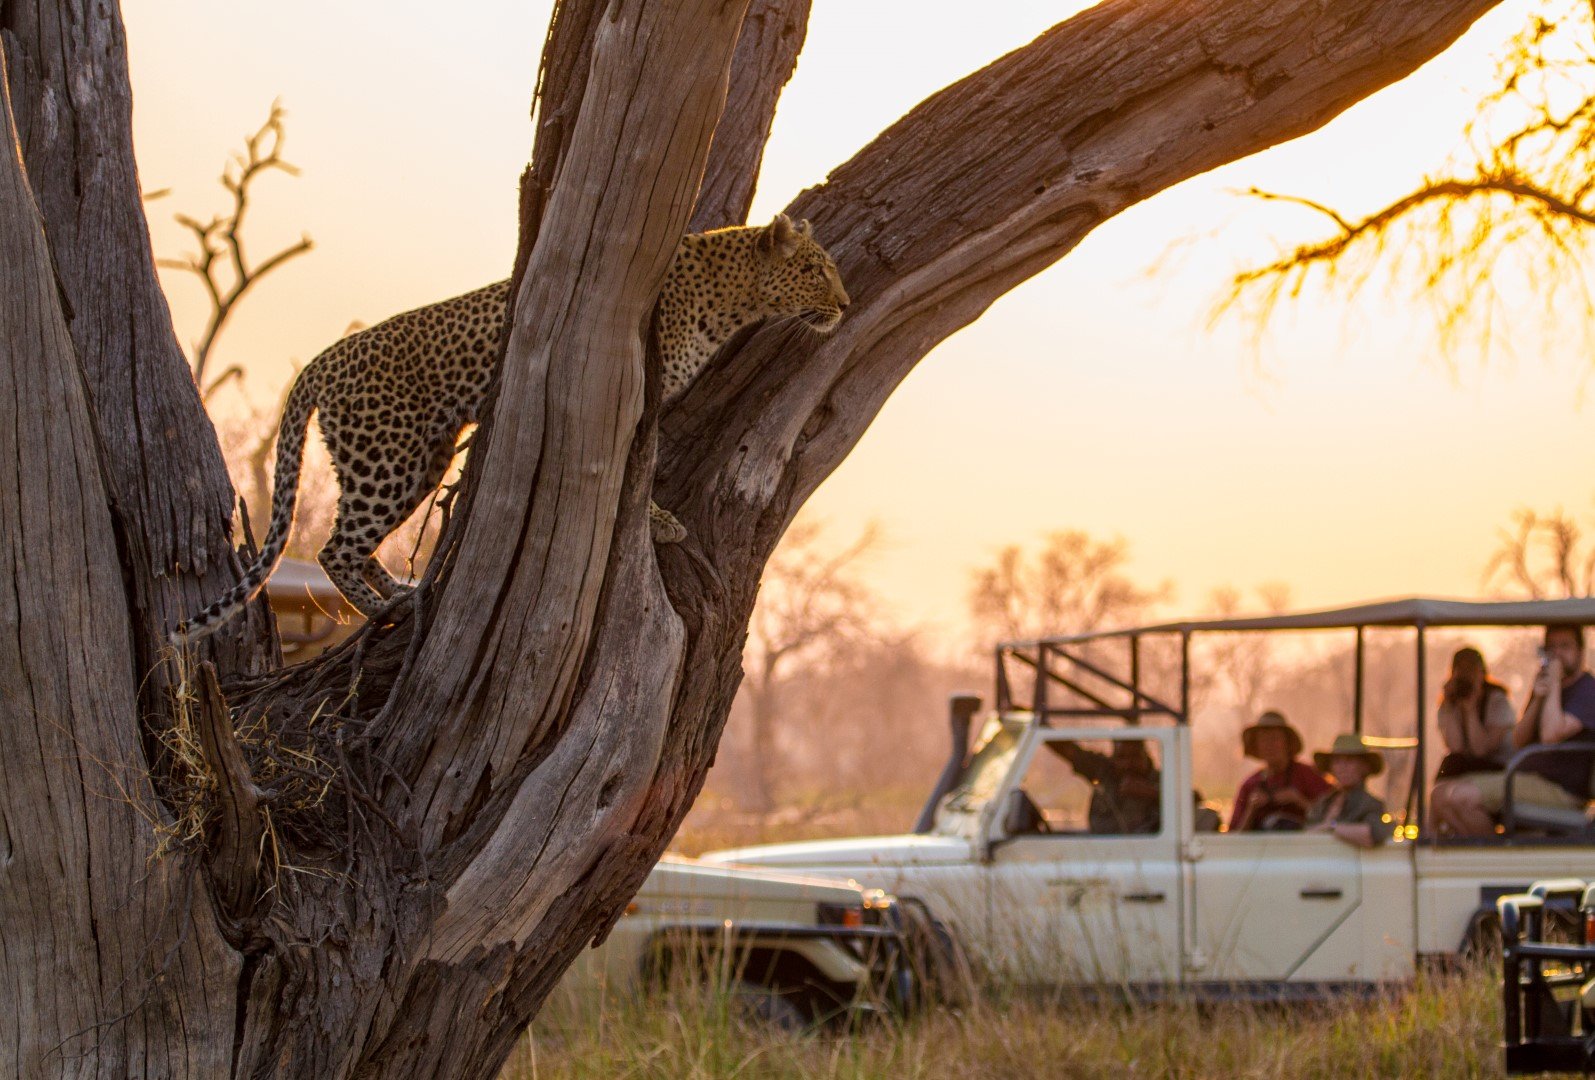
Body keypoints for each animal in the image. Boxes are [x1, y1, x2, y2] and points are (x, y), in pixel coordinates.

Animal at [171, 215, 848, 644]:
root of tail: (324, 358)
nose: (844, 304)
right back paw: (385, 609)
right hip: (387, 459)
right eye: (817, 269)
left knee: (354, 544)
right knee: (333, 547)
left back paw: (402, 592)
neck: (734, 297)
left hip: (421, 460)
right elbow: (638, 464)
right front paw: (661, 520)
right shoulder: (632, 393)